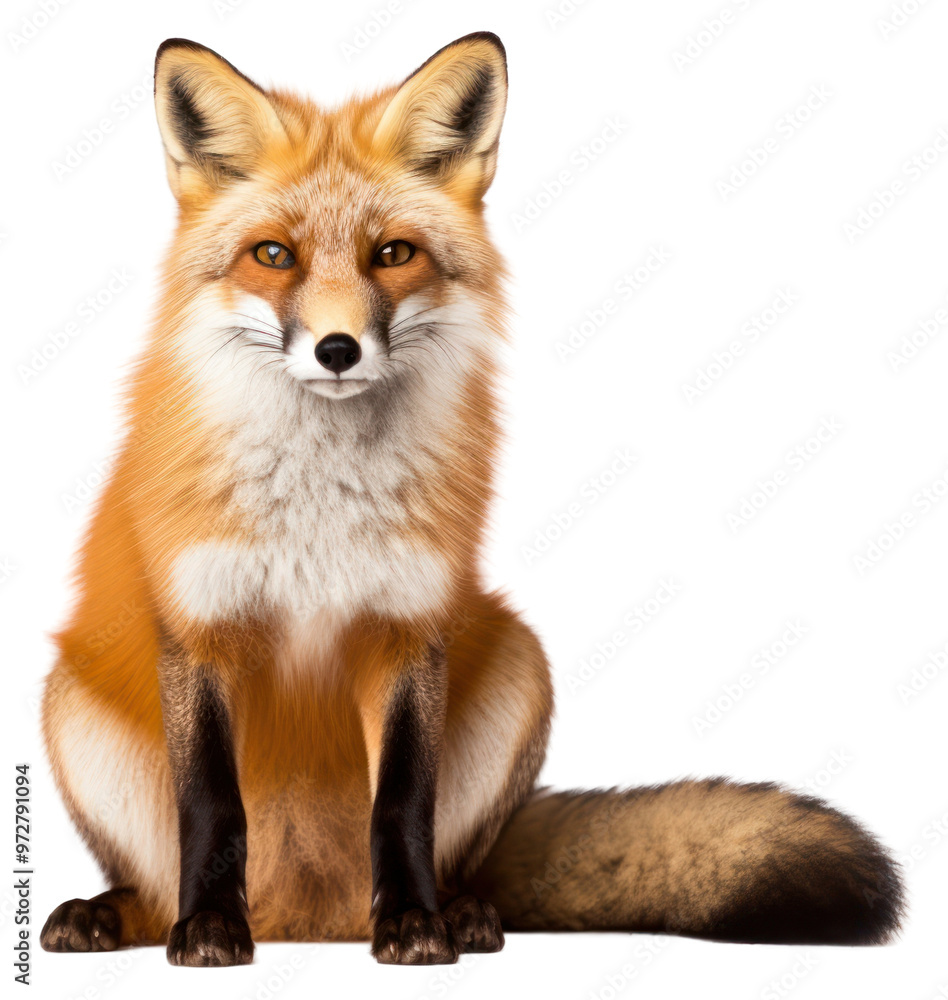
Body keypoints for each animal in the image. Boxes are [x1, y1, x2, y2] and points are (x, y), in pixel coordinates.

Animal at [40, 33, 904, 967]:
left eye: (393, 253)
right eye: (273, 255)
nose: (337, 349)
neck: (321, 514)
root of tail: (307, 920)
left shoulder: (411, 626)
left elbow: (402, 803)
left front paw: (415, 923)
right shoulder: (200, 629)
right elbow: (209, 805)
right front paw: (206, 929)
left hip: (521, 662)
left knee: (451, 866)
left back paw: (455, 911)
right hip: (65, 699)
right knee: (155, 882)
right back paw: (117, 913)